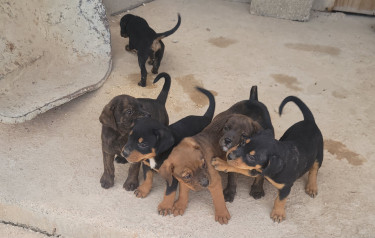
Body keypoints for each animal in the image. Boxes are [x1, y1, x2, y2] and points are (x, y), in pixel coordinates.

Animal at [119, 86, 216, 215]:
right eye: (129, 137)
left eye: (143, 144)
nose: (124, 153)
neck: (155, 156)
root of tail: (206, 117)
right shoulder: (146, 164)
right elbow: (147, 178)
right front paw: (143, 190)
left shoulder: (173, 176)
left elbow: (169, 192)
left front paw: (165, 206)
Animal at [159, 86, 274, 224]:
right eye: (187, 176)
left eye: (204, 165)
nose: (205, 183)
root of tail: (253, 100)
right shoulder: (183, 181)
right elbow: (183, 192)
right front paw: (180, 205)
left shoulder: (214, 181)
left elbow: (218, 199)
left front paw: (222, 215)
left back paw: (257, 188)